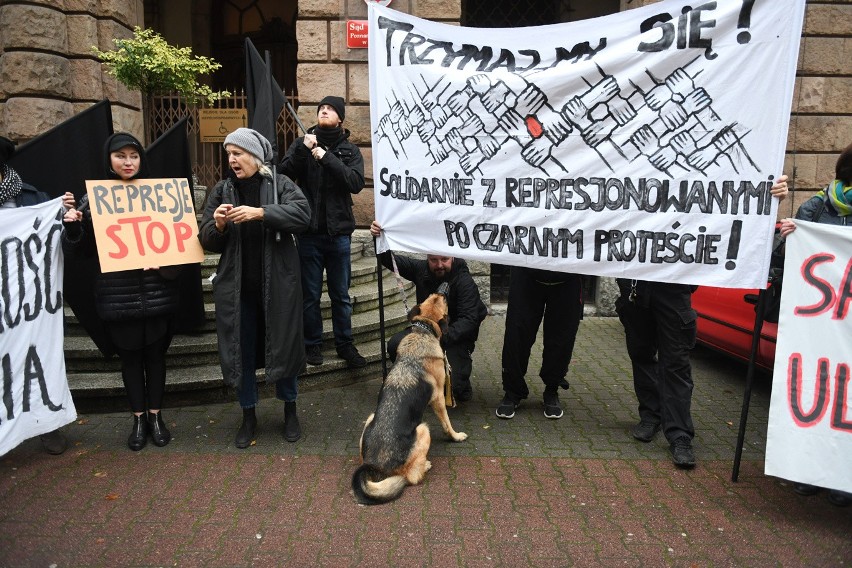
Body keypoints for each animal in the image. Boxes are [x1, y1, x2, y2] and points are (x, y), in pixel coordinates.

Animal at [354, 288, 472, 506]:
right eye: (443, 299)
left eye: (433, 296)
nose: (444, 287)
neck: (423, 331)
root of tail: (375, 466)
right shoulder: (438, 399)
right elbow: (447, 423)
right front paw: (456, 436)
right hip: (423, 429)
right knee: (412, 477)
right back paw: (425, 465)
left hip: (369, 418)